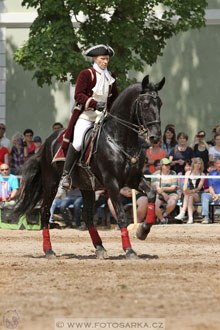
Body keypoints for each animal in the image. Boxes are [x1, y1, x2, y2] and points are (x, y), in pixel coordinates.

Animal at [15, 75, 165, 260]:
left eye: (160, 103)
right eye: (144, 104)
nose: (155, 137)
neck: (120, 139)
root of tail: (47, 142)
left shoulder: (133, 179)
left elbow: (151, 194)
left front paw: (143, 230)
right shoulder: (112, 183)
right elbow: (121, 216)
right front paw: (129, 250)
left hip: (86, 186)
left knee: (87, 216)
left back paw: (100, 247)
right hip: (51, 184)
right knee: (44, 212)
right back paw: (49, 250)